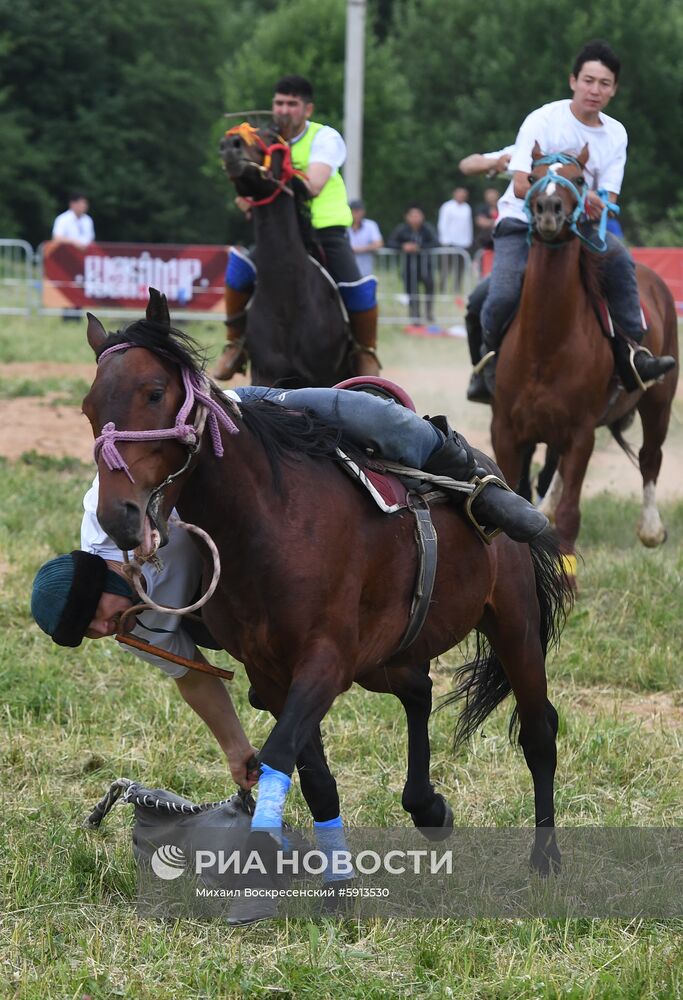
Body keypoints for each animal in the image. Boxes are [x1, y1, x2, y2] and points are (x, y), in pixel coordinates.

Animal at [83, 288, 576, 876]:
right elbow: (314, 778)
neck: (270, 522)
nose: (118, 517)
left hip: (513, 622)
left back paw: (545, 856)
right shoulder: (272, 673)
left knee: (539, 732)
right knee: (420, 692)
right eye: (89, 408)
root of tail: (489, 468)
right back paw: (427, 806)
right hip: (385, 657)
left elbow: (279, 756)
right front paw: (335, 879)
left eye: (155, 392)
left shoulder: (325, 661)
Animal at [492, 145, 680, 576]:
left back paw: (650, 528)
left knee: (650, 457)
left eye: (579, 180)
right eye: (533, 175)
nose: (548, 208)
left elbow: (571, 514)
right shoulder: (506, 431)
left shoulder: (581, 434)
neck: (545, 345)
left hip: (658, 402)